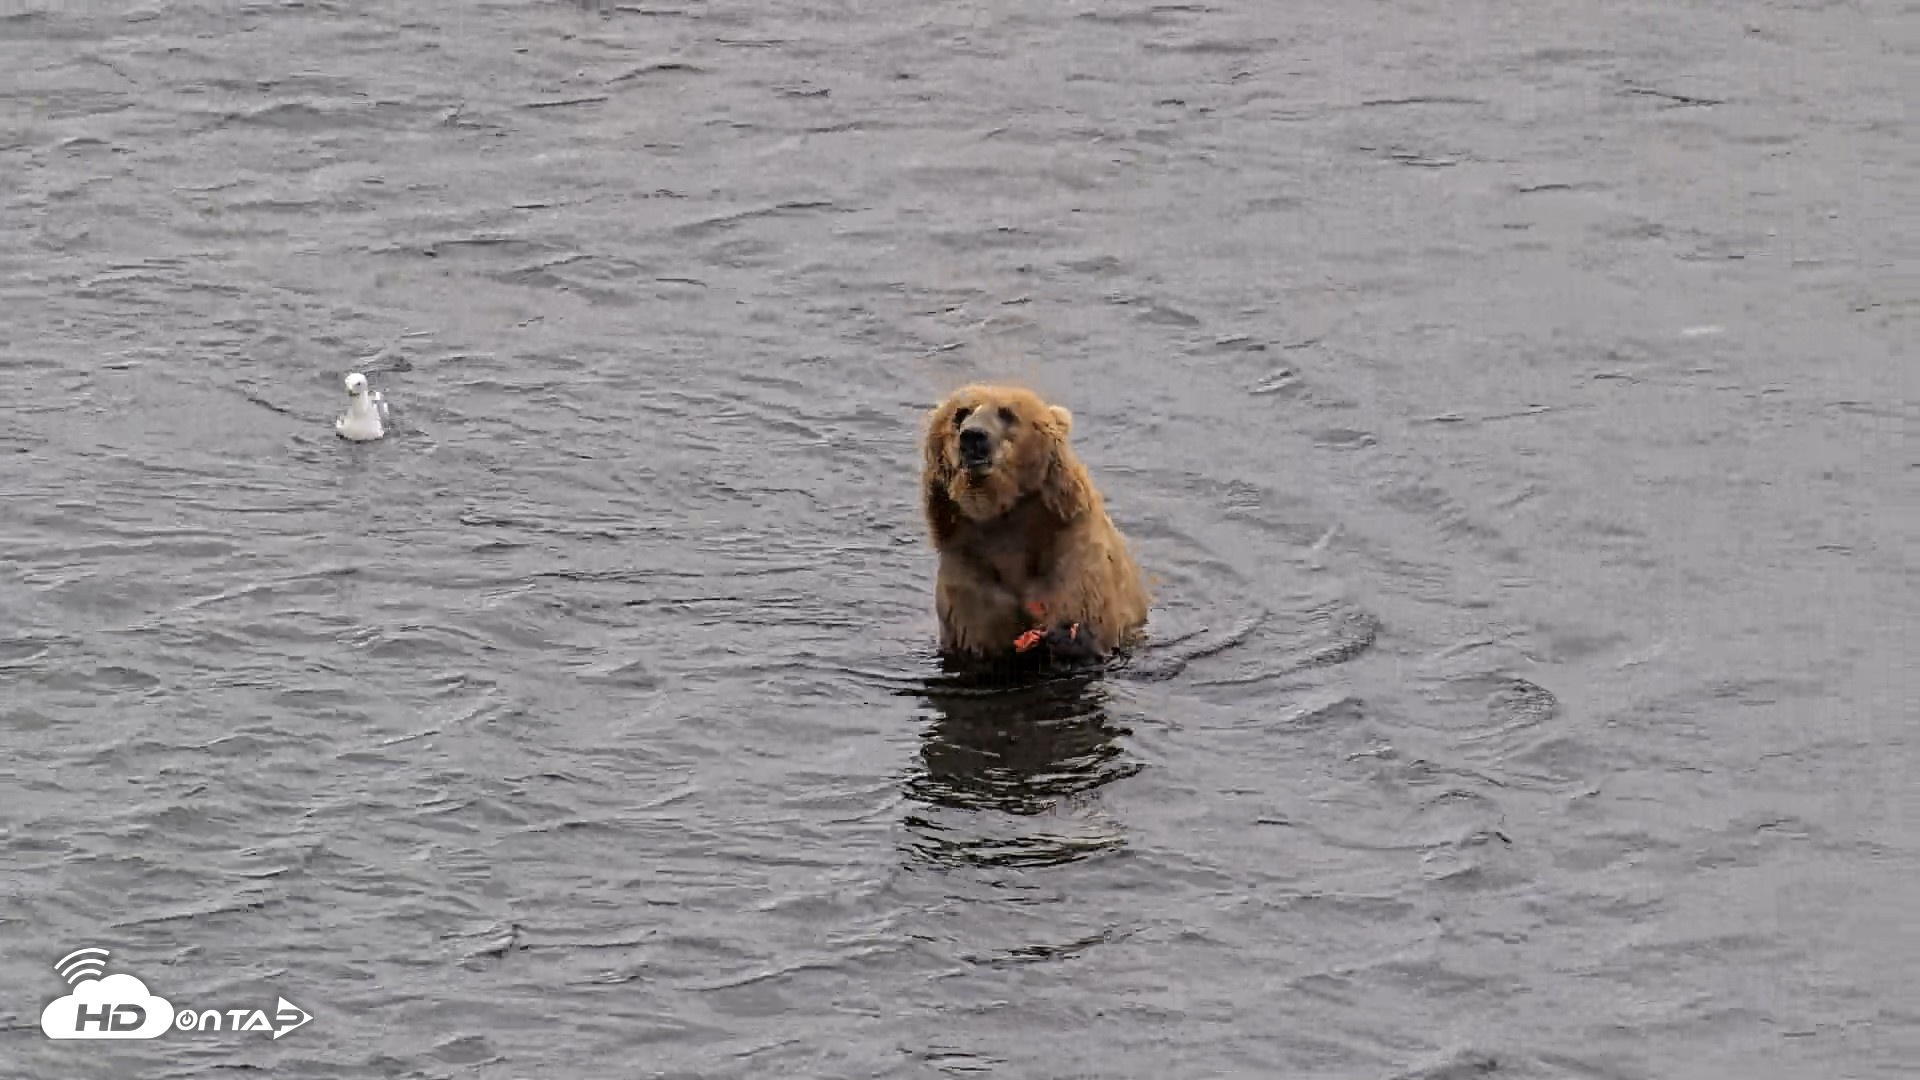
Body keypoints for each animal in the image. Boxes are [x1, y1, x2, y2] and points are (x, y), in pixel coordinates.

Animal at [920, 383, 1151, 665]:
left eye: (1007, 413)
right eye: (960, 413)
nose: (973, 437)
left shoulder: (1073, 564)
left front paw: (1067, 635)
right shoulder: (970, 576)